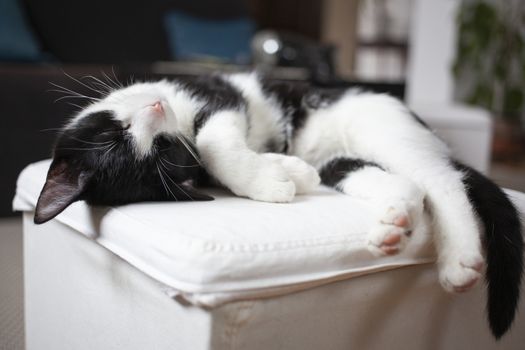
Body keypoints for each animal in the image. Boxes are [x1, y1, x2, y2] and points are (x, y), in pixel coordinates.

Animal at [34, 72, 520, 340]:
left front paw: (273, 178)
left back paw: (459, 259)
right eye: (158, 149)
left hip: (382, 127)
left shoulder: (218, 95)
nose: (156, 108)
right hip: (345, 162)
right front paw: (287, 174)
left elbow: (213, 142)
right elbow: (215, 153)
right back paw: (392, 226)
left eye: (115, 135)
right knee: (407, 183)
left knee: (443, 181)